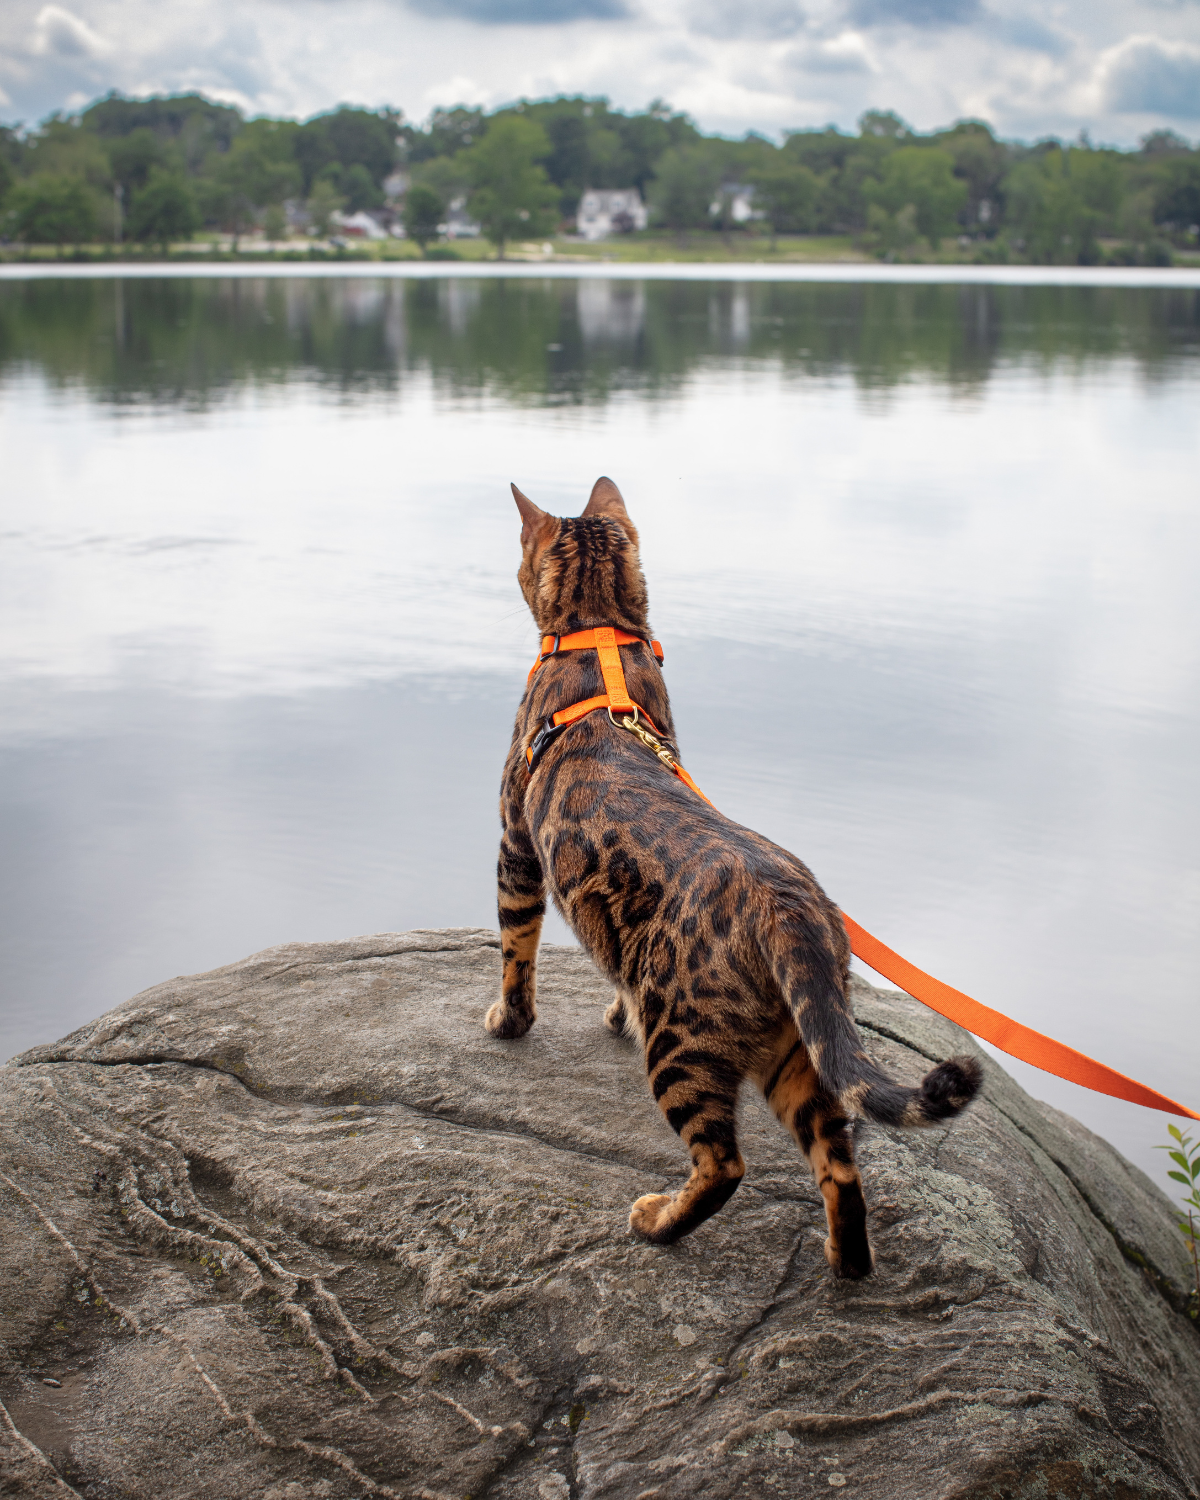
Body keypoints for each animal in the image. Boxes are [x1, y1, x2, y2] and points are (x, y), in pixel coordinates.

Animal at [486, 474, 984, 1272]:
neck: (602, 642)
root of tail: (791, 906)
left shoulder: (515, 846)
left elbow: (515, 951)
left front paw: (508, 1022)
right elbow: (613, 973)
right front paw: (613, 1011)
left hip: (683, 1047)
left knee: (725, 1164)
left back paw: (659, 1220)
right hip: (796, 1054)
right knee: (840, 1162)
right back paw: (846, 1264)